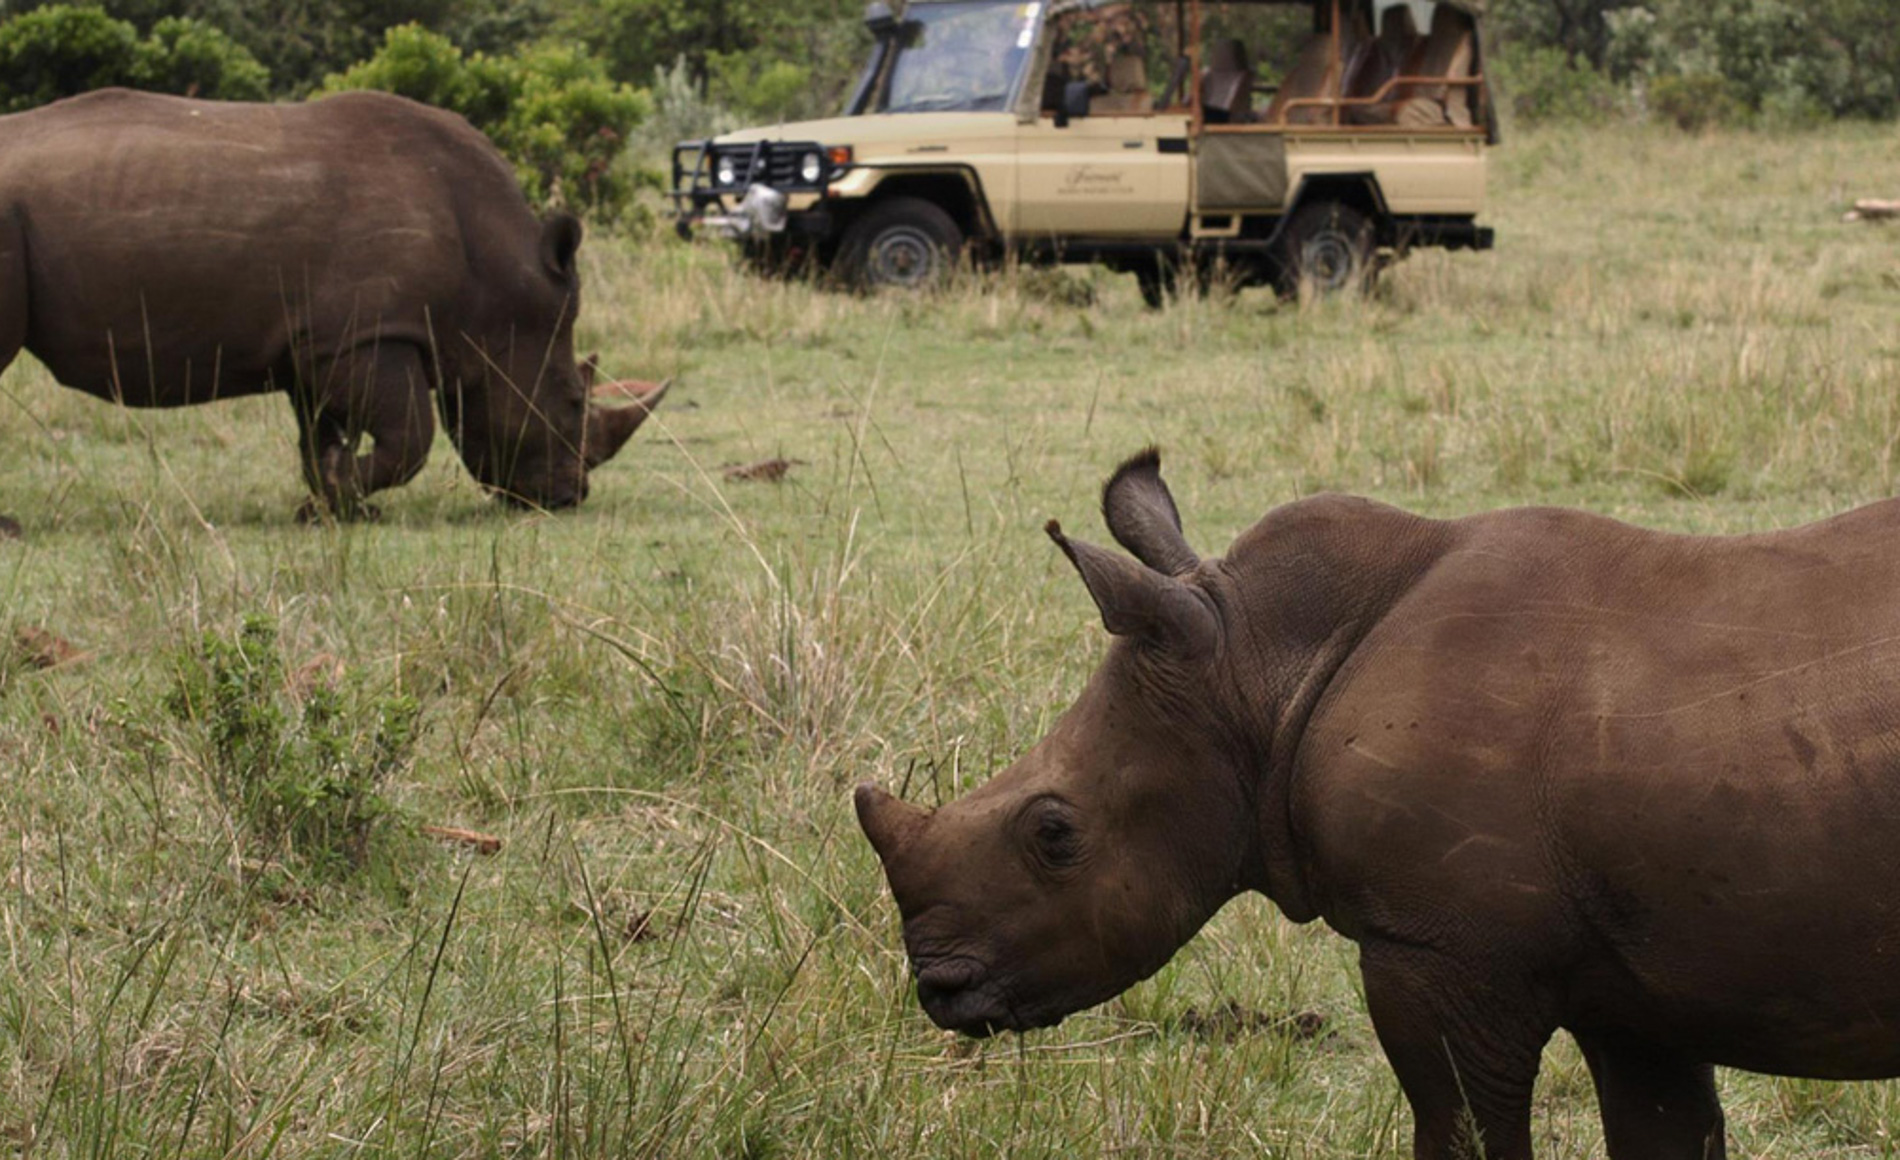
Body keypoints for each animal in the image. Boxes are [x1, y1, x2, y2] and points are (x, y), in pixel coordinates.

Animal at [0, 90, 668, 520]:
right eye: (573, 400)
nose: (568, 497)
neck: (497, 282)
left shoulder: (319, 344)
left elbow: (317, 434)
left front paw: (330, 502)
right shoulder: (372, 333)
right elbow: (411, 439)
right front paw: (335, 496)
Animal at [866, 446, 1900, 1160]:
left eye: (1055, 833)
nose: (940, 987)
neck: (1257, 668)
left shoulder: (1438, 945)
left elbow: (1462, 1134)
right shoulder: (1638, 986)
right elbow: (1664, 1131)